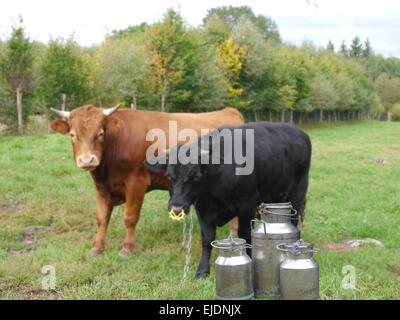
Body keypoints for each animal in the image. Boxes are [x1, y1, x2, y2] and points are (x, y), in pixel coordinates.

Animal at [50, 106, 244, 256]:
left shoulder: (136, 182)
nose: (87, 160)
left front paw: (127, 249)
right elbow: (102, 219)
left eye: (100, 133)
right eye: (72, 135)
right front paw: (97, 248)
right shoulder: (101, 187)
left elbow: (130, 217)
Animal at [145, 122, 312, 278]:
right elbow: (207, 238)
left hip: (298, 192)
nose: (177, 208)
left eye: (196, 177)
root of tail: (299, 132)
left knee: (294, 221)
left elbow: (245, 233)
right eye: (169, 176)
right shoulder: (202, 208)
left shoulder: (247, 205)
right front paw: (202, 270)